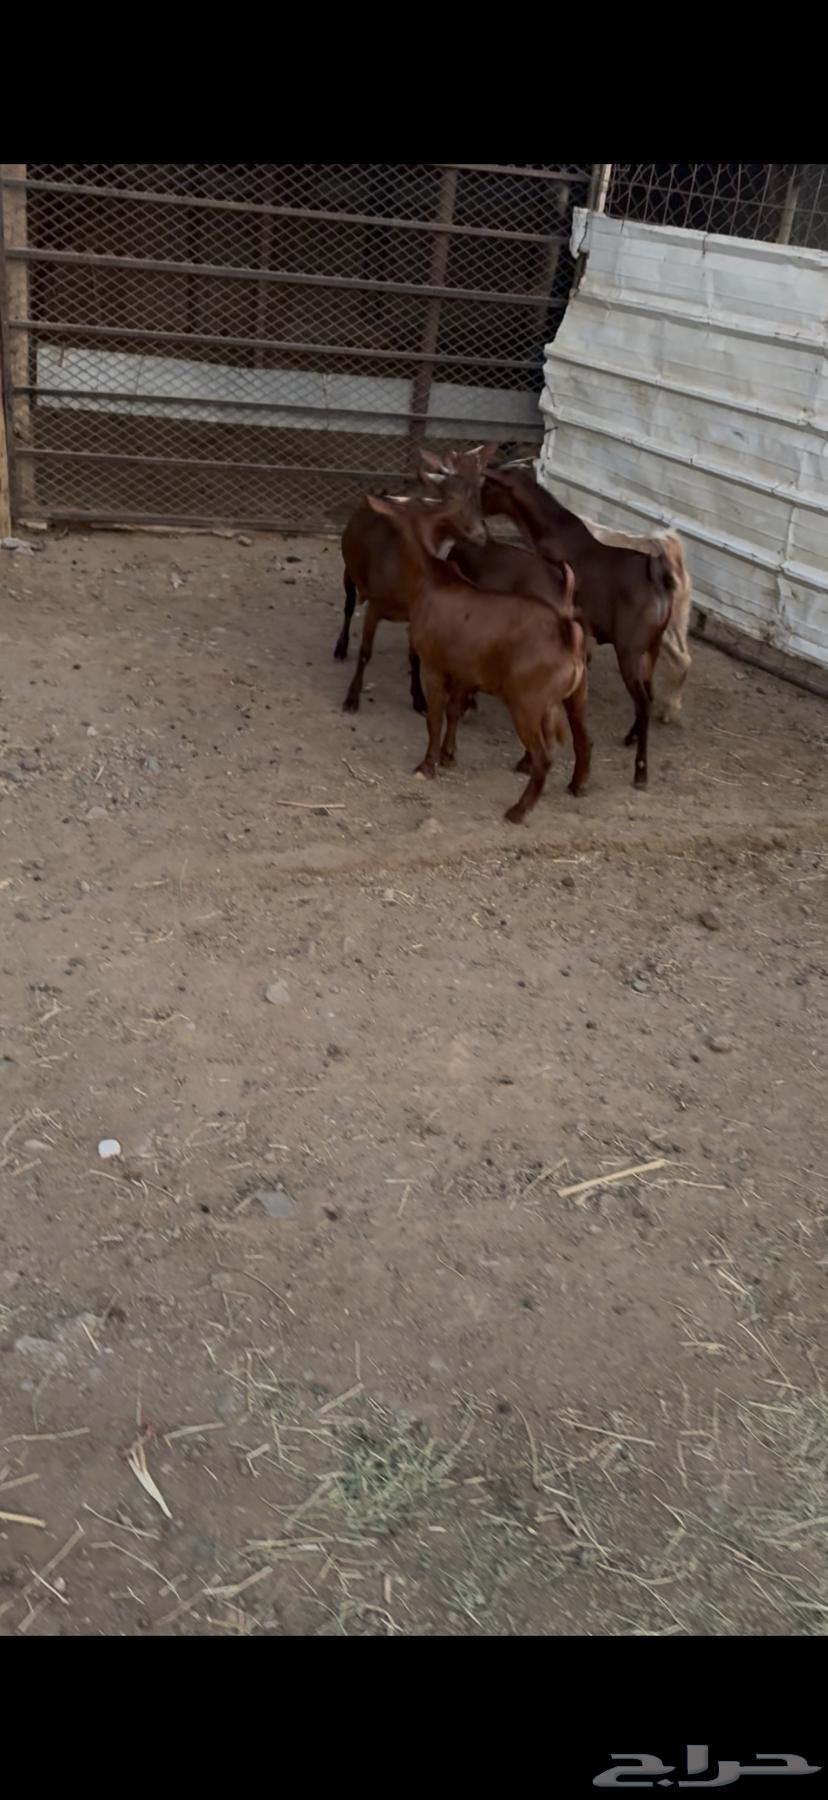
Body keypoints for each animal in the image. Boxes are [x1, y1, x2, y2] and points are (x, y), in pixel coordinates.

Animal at [334, 449, 489, 715]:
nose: (480, 534)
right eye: (449, 497)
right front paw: (352, 698)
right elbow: (365, 652)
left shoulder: (415, 616)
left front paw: (419, 699)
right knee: (349, 605)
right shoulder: (375, 606)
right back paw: (341, 647)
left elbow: (415, 657)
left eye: (478, 495)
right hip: (349, 570)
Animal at [366, 495, 590, 823]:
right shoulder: (465, 669)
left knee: (543, 757)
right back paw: (576, 786)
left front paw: (427, 766)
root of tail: (566, 636)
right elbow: (454, 711)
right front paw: (449, 755)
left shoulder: (434, 664)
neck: (431, 578)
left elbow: (434, 717)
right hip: (575, 695)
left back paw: (518, 809)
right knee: (582, 739)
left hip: (526, 701)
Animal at [482, 467, 676, 787]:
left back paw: (640, 770)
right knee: (647, 695)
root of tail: (657, 578)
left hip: (629, 651)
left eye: (488, 486)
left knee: (643, 702)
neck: (552, 529)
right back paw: (631, 737)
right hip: (652, 649)